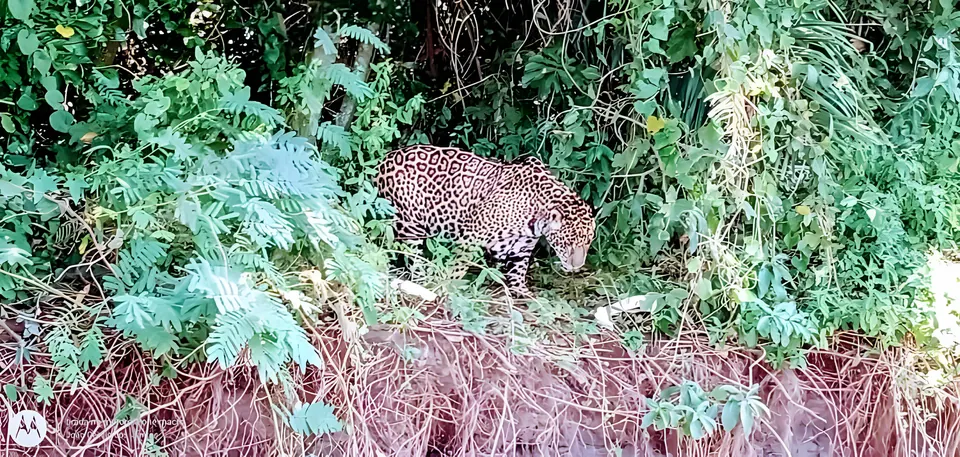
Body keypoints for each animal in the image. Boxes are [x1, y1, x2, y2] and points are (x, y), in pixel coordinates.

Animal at [374, 144, 596, 297]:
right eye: (568, 244)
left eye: (587, 243)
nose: (576, 267)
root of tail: (384, 159)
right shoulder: (471, 238)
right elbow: (458, 266)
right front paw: (447, 286)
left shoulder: (522, 248)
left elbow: (518, 271)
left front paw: (524, 293)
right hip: (409, 225)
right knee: (411, 255)